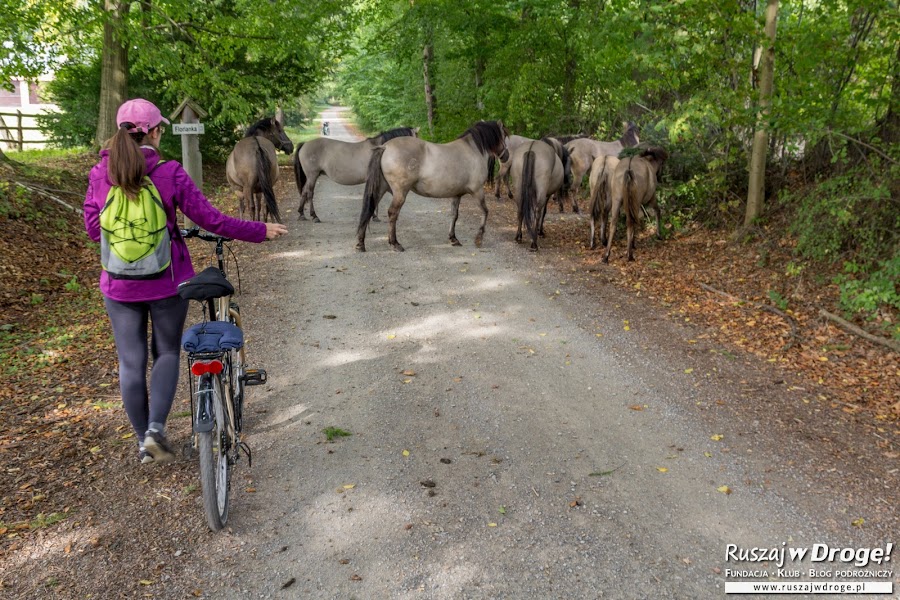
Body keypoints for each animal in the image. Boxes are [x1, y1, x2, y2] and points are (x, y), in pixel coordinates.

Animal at [358, 120, 512, 252]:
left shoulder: (456, 194)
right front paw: (479, 239)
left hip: (381, 188)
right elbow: (485, 211)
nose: (506, 156)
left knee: (369, 209)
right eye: (503, 136)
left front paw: (453, 238)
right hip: (400, 193)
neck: (473, 150)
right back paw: (395, 243)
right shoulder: (478, 191)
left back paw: (360, 244)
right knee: (392, 213)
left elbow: (454, 215)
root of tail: (385, 146)